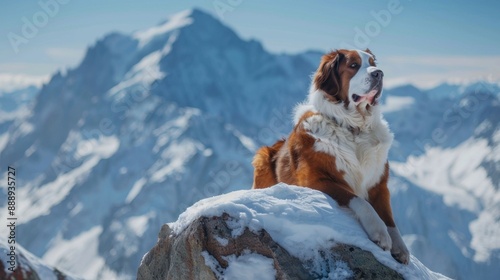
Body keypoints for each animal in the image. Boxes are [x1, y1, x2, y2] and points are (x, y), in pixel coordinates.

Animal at [252, 48, 408, 264]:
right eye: (353, 65)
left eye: (372, 63)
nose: (379, 73)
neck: (355, 129)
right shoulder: (315, 180)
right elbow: (359, 201)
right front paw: (380, 234)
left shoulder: (379, 184)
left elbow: (390, 218)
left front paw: (400, 247)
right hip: (262, 155)